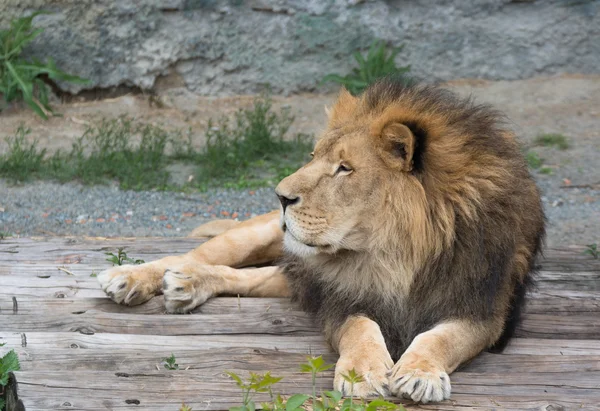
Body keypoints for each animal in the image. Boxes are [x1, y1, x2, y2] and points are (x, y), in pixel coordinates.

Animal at [97, 79, 544, 406]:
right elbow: (360, 326)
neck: (394, 256)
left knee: (248, 278)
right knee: (191, 254)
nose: (280, 196)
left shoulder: (484, 310)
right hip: (255, 237)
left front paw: (419, 374)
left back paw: (188, 284)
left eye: (344, 168)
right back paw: (135, 278)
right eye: (312, 157)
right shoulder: (341, 297)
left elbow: (442, 337)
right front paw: (362, 373)